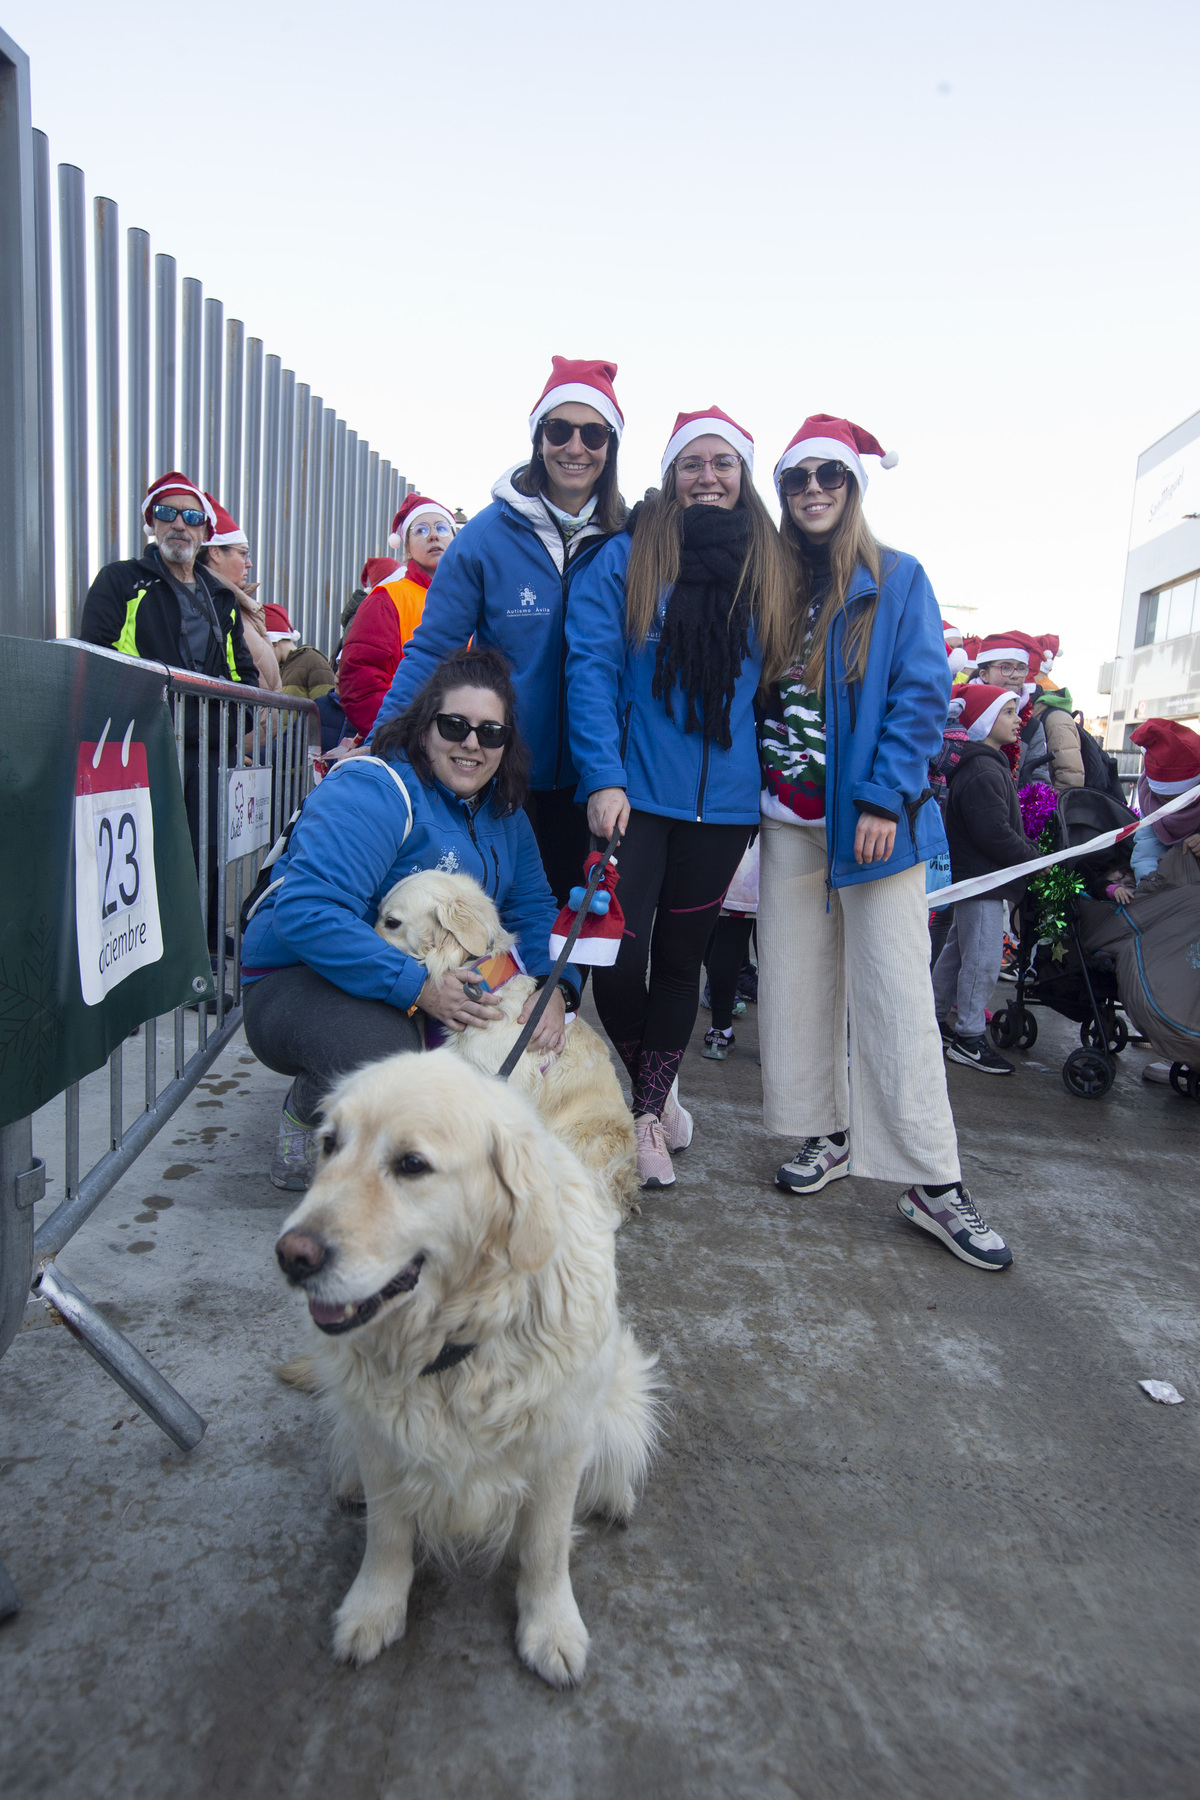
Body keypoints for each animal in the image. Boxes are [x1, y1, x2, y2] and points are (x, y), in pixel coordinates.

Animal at [275, 1051, 658, 1684]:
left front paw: (552, 1627)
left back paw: (616, 1496)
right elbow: (387, 1536)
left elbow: (547, 1546)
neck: (454, 1344)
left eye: (412, 1164)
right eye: (329, 1143)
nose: (291, 1256)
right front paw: (373, 1609)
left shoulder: (559, 1444)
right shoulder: (383, 1445)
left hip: (621, 1385)